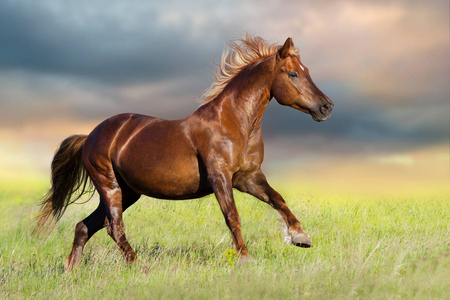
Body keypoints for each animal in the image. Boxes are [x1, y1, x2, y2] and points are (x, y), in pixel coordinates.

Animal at [35, 35, 332, 270]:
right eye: (293, 74)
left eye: (306, 70)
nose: (326, 107)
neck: (234, 123)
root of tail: (90, 137)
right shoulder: (220, 177)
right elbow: (232, 216)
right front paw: (246, 258)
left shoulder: (248, 177)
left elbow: (278, 199)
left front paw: (301, 237)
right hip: (109, 186)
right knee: (114, 227)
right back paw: (139, 267)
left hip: (127, 191)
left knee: (85, 226)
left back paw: (72, 271)